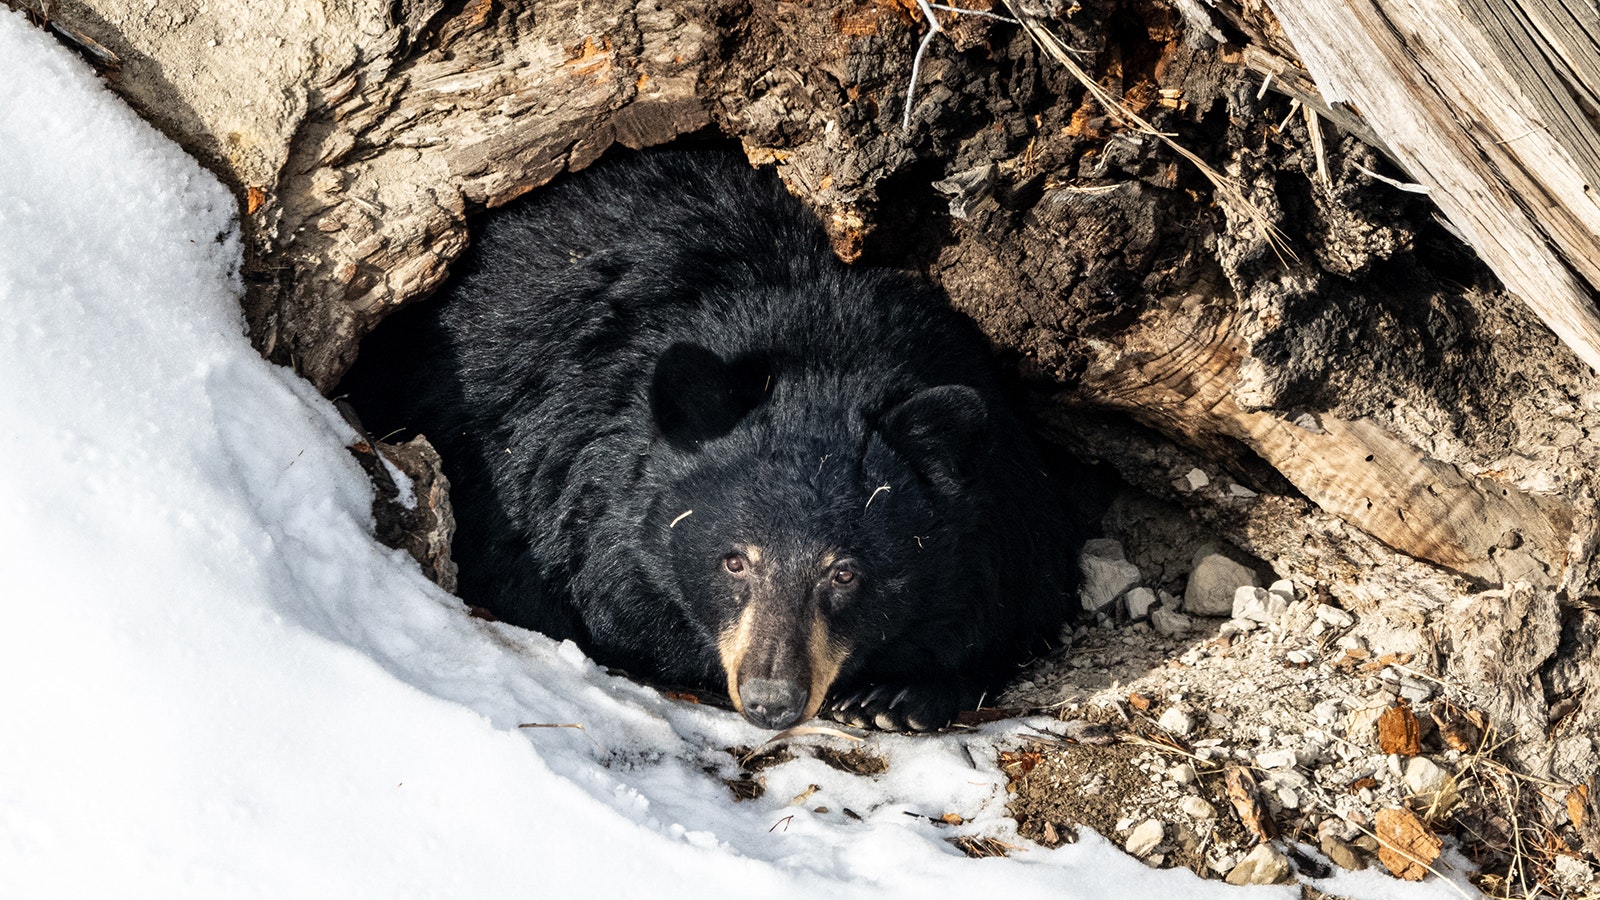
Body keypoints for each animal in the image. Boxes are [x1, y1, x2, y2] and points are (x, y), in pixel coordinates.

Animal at [345, 148, 1081, 731]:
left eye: (845, 571)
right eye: (734, 561)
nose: (771, 700)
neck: (820, 344)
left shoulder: (1006, 497)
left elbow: (1011, 605)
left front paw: (898, 697)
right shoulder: (543, 478)